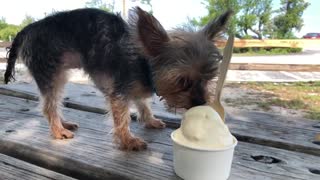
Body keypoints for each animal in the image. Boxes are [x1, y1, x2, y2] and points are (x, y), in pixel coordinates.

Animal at [3, 6, 231, 150]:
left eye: (209, 77)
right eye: (182, 81)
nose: (201, 102)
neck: (144, 61)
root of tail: (27, 29)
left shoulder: (134, 86)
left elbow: (143, 103)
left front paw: (149, 120)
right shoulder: (119, 91)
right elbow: (122, 117)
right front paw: (128, 141)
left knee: (54, 103)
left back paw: (63, 123)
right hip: (50, 72)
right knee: (48, 105)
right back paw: (58, 131)